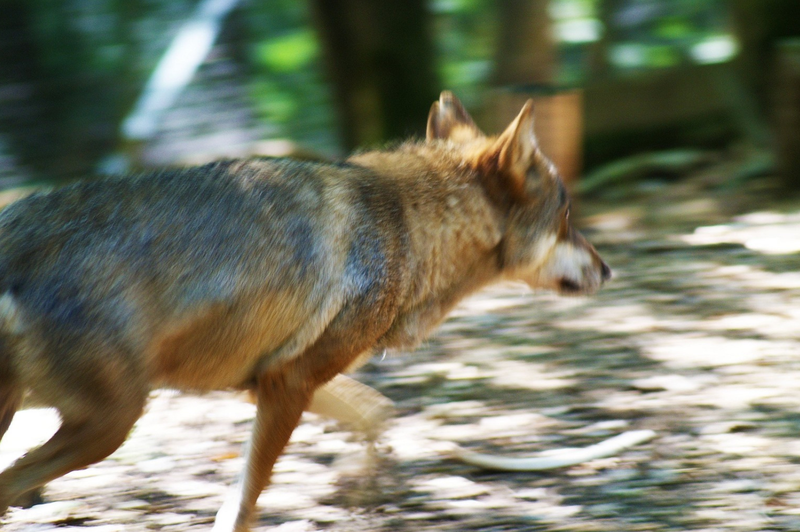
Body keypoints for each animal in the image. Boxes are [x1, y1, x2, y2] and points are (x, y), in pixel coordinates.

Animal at [0, 91, 608, 528]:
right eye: (567, 216)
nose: (608, 271)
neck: (410, 227)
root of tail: (15, 236)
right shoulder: (288, 385)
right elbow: (244, 503)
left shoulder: (266, 381)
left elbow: (377, 412)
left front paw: (365, 481)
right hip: (111, 426)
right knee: (14, 480)